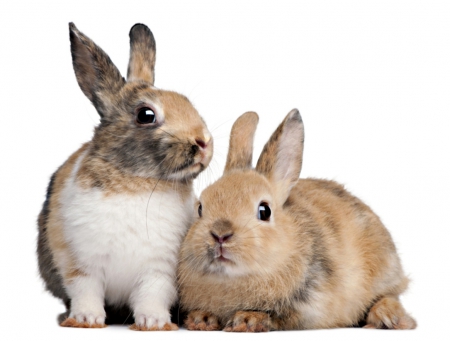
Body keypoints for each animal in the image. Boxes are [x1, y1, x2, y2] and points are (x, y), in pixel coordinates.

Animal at [37, 21, 213, 330]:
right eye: (146, 115)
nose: (204, 141)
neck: (140, 182)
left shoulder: (160, 270)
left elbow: (152, 295)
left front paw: (154, 323)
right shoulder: (79, 263)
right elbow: (85, 290)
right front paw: (86, 319)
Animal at [178, 108, 416, 330]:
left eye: (264, 211)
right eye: (200, 208)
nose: (220, 234)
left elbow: (276, 316)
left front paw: (247, 320)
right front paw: (201, 320)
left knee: (389, 295)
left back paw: (388, 318)